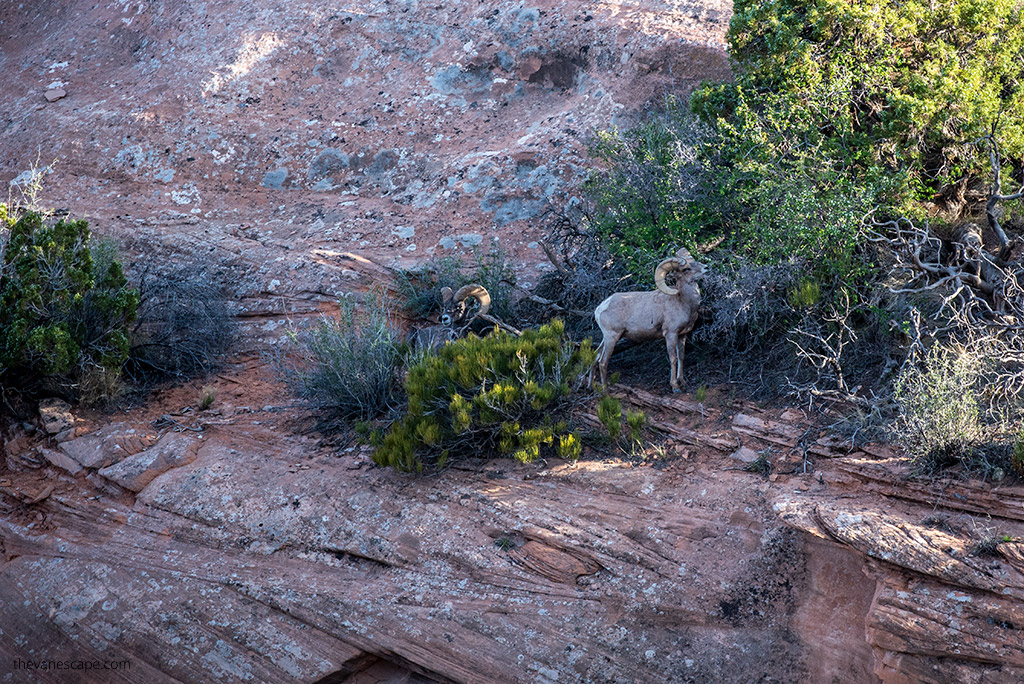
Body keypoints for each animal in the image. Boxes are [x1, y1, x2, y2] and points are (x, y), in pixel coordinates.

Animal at [591, 249, 705, 393]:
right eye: (686, 269)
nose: (706, 268)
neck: (684, 302)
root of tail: (600, 308)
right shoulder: (670, 334)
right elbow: (673, 359)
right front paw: (675, 386)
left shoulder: (682, 335)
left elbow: (681, 357)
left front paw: (683, 382)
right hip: (612, 337)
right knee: (603, 361)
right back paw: (605, 391)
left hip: (606, 338)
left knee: (595, 357)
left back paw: (589, 386)